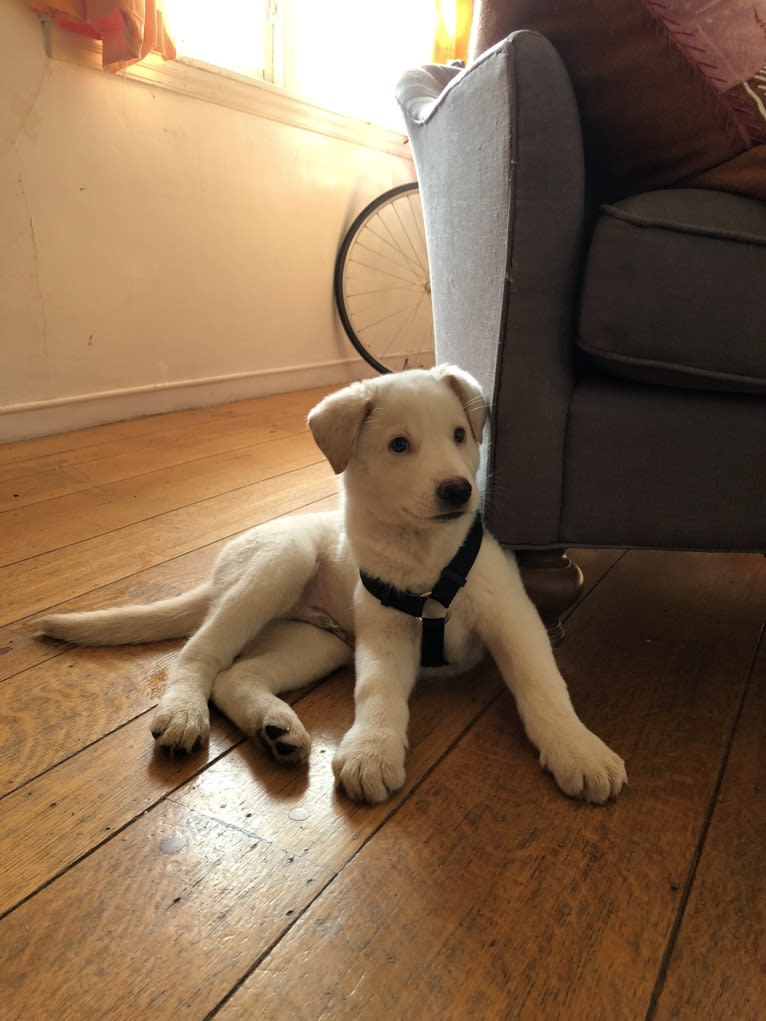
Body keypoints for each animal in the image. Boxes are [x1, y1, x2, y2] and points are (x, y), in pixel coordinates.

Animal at [39, 367, 629, 804]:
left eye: (460, 435)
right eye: (399, 445)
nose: (459, 490)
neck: (427, 559)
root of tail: (217, 574)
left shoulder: (512, 617)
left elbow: (544, 687)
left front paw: (578, 750)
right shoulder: (384, 633)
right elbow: (378, 691)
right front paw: (372, 751)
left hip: (317, 641)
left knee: (235, 676)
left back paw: (276, 729)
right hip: (282, 562)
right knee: (198, 655)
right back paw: (183, 714)